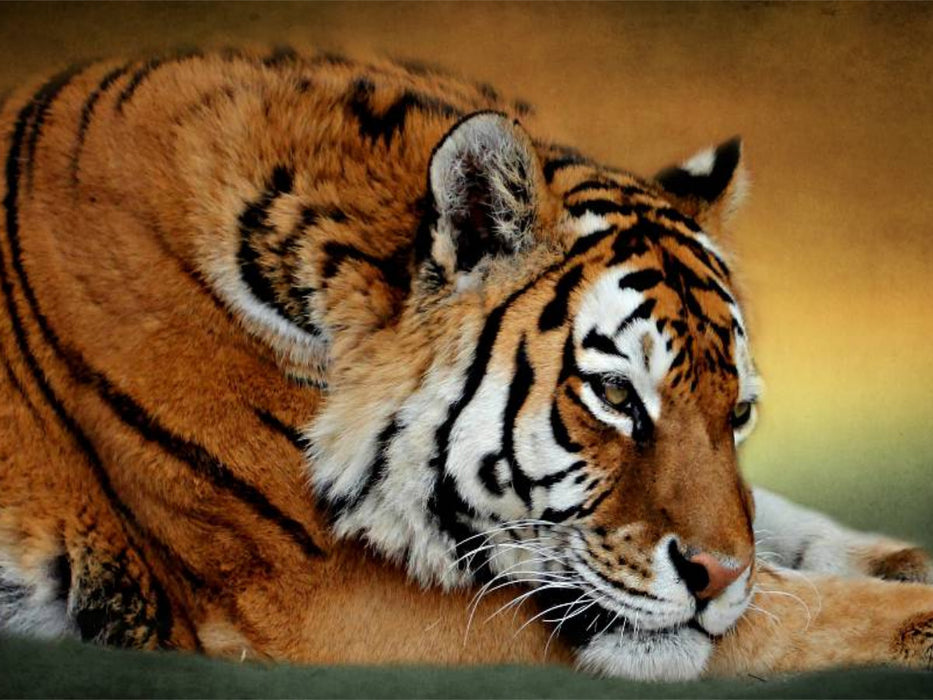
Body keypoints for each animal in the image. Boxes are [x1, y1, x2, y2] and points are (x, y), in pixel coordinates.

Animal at [1, 46, 932, 681]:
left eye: (735, 413)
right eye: (612, 393)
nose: (716, 576)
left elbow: (776, 530)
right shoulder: (333, 598)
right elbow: (789, 614)